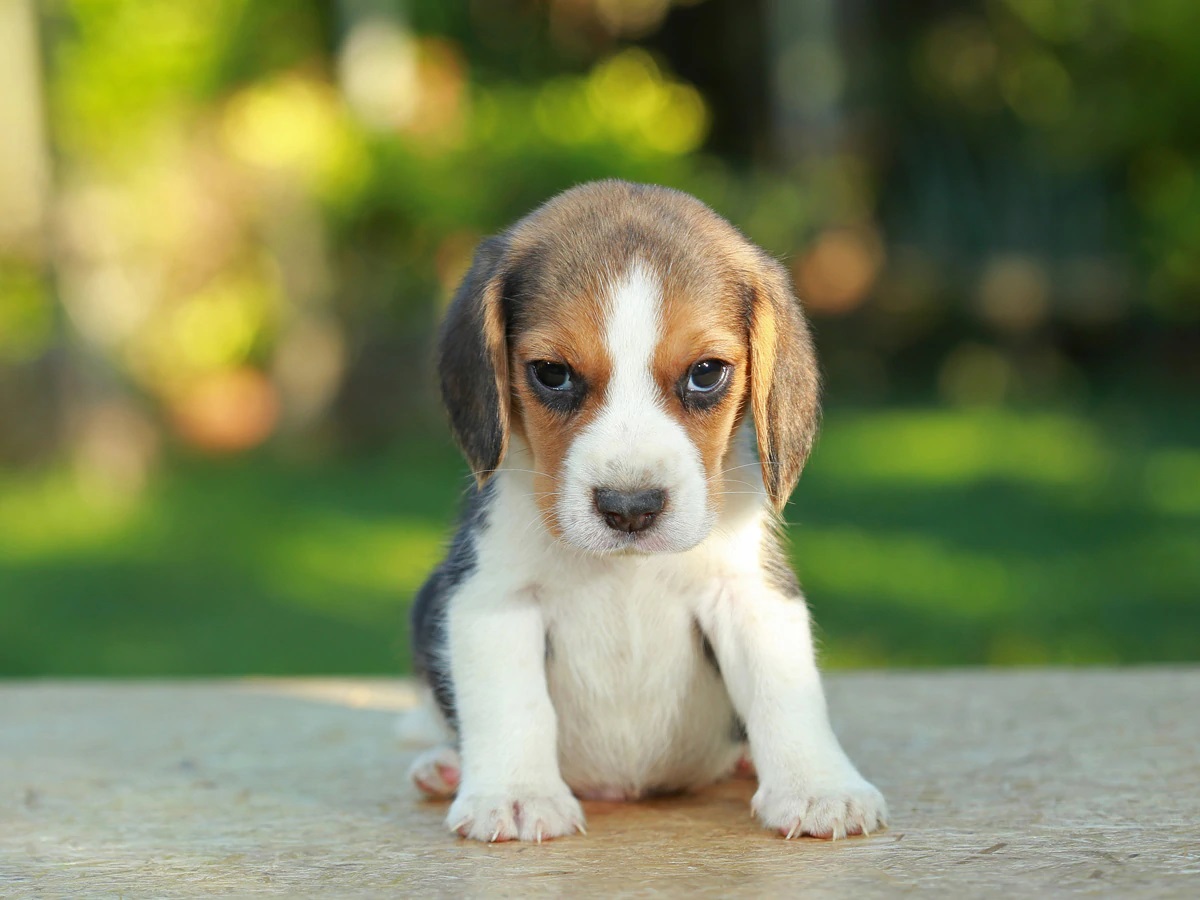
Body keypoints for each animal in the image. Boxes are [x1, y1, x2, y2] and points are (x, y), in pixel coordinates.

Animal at [408, 180, 888, 844]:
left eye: (706, 373)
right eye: (551, 373)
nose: (629, 509)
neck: (626, 569)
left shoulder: (750, 593)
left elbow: (786, 693)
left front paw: (819, 787)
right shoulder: (490, 597)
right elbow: (511, 703)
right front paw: (515, 795)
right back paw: (446, 765)